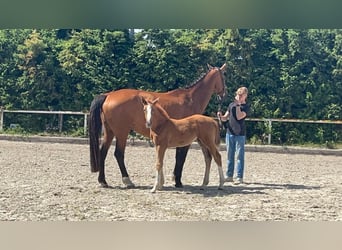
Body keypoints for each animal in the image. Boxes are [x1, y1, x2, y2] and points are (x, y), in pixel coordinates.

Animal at [89, 63, 226, 188]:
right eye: (223, 75)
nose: (224, 93)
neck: (190, 99)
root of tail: (108, 95)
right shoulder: (185, 140)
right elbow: (181, 158)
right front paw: (177, 181)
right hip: (122, 132)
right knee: (118, 154)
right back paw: (127, 180)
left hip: (109, 131)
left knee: (103, 152)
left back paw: (103, 181)